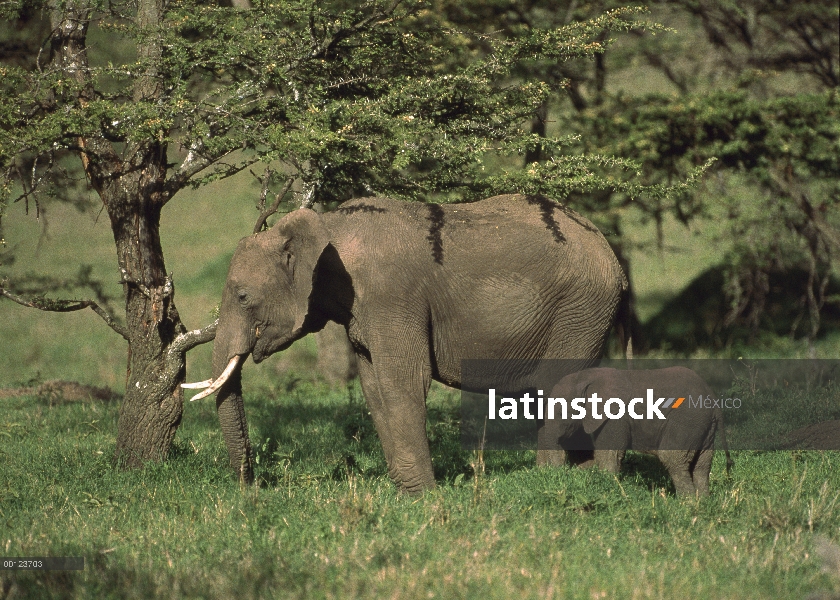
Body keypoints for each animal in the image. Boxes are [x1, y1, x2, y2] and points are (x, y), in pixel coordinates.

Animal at [185, 193, 632, 492]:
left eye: (243, 296)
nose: (254, 486)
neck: (327, 230)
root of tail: (614, 259)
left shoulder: (392, 296)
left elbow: (404, 381)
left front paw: (425, 497)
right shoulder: (362, 311)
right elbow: (373, 386)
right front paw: (404, 493)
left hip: (580, 308)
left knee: (559, 387)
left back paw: (551, 479)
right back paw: (591, 477)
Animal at [540, 366, 732, 496]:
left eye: (560, 412)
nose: (562, 473)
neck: (587, 377)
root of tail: (714, 401)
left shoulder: (615, 416)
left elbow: (608, 454)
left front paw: (608, 485)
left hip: (686, 421)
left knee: (672, 458)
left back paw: (686, 504)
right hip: (703, 428)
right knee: (702, 465)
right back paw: (702, 502)